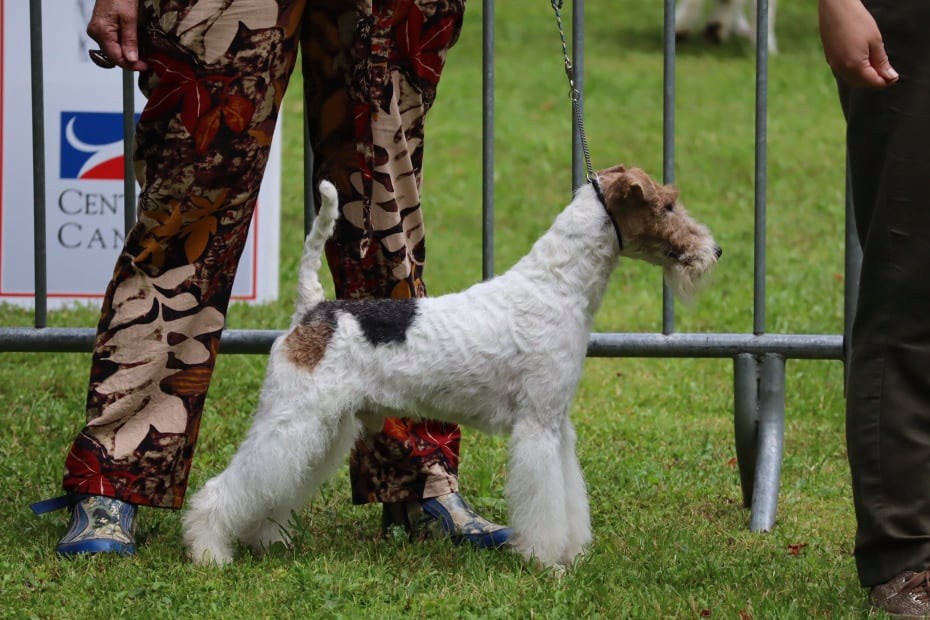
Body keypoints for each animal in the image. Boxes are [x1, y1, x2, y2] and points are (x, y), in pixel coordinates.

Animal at [179, 163, 716, 568]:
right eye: (667, 205)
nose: (715, 250)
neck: (559, 285)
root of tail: (313, 308)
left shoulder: (557, 424)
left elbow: (570, 498)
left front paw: (573, 551)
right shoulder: (537, 427)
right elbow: (546, 503)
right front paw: (548, 562)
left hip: (325, 428)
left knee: (274, 486)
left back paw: (264, 538)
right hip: (293, 418)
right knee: (226, 487)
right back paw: (208, 551)